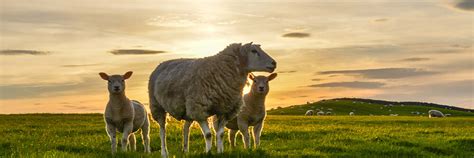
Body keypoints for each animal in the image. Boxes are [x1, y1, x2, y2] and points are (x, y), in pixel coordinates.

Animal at [149, 41, 278, 156]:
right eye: (254, 51)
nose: (274, 63)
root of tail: (162, 63)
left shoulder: (225, 110)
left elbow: (220, 134)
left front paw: (220, 152)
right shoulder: (199, 109)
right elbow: (208, 134)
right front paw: (209, 152)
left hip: (187, 109)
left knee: (186, 129)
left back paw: (185, 150)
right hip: (157, 106)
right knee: (162, 130)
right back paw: (164, 153)